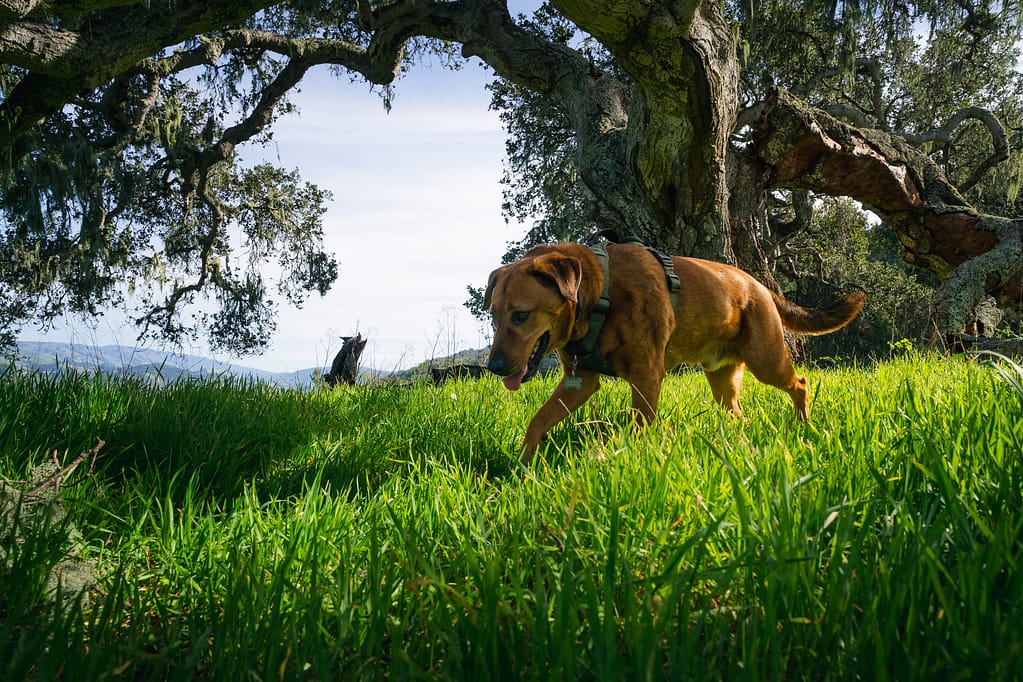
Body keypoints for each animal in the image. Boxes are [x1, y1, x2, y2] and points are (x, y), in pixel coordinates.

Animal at [482, 242, 867, 462]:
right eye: (494, 316)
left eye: (521, 315)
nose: (495, 367)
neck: (600, 295)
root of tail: (758, 285)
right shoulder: (579, 381)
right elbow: (538, 420)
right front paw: (523, 464)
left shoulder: (646, 377)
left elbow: (638, 427)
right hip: (723, 380)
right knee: (738, 413)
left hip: (767, 360)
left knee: (800, 382)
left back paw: (803, 423)